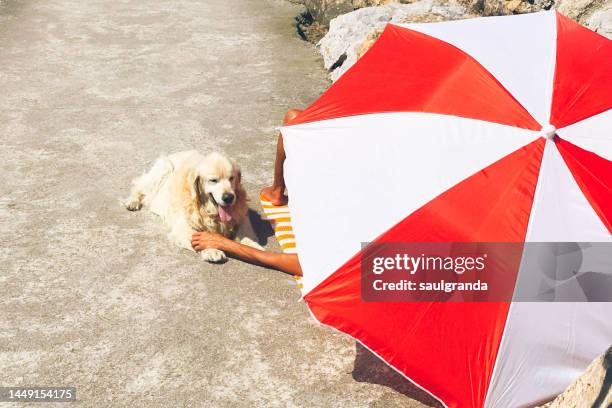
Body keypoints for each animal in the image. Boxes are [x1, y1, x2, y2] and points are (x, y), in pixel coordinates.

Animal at [125, 150, 262, 262]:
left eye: (231, 178)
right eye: (213, 180)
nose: (229, 198)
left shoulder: (242, 217)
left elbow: (247, 235)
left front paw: (254, 247)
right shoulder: (182, 227)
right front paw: (212, 250)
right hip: (164, 168)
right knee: (138, 186)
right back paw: (132, 201)